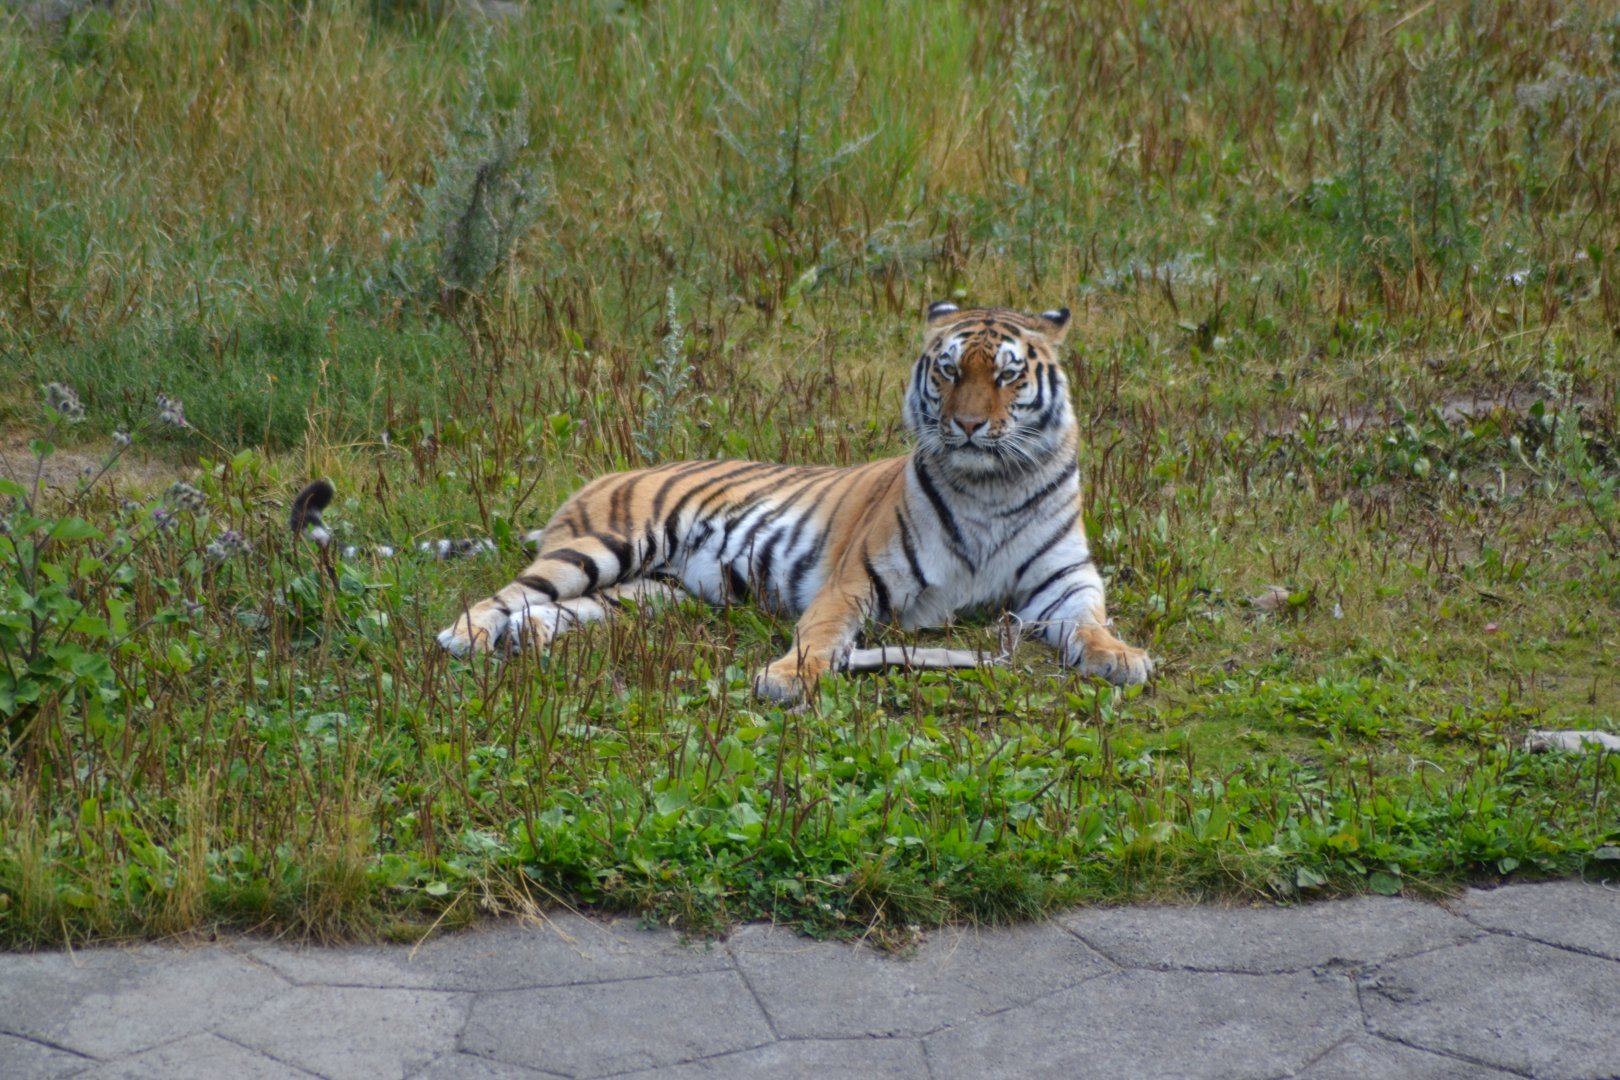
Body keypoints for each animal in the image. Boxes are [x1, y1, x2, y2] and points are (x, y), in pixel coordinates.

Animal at [406, 302, 1150, 702]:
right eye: (947, 371)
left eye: (1006, 376)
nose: (966, 425)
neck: (992, 486)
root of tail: (598, 480)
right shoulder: (857, 579)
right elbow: (821, 633)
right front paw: (789, 677)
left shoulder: (1064, 581)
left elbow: (1091, 624)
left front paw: (1122, 658)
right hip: (604, 546)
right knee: (507, 592)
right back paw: (469, 636)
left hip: (651, 591)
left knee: (557, 609)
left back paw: (525, 637)